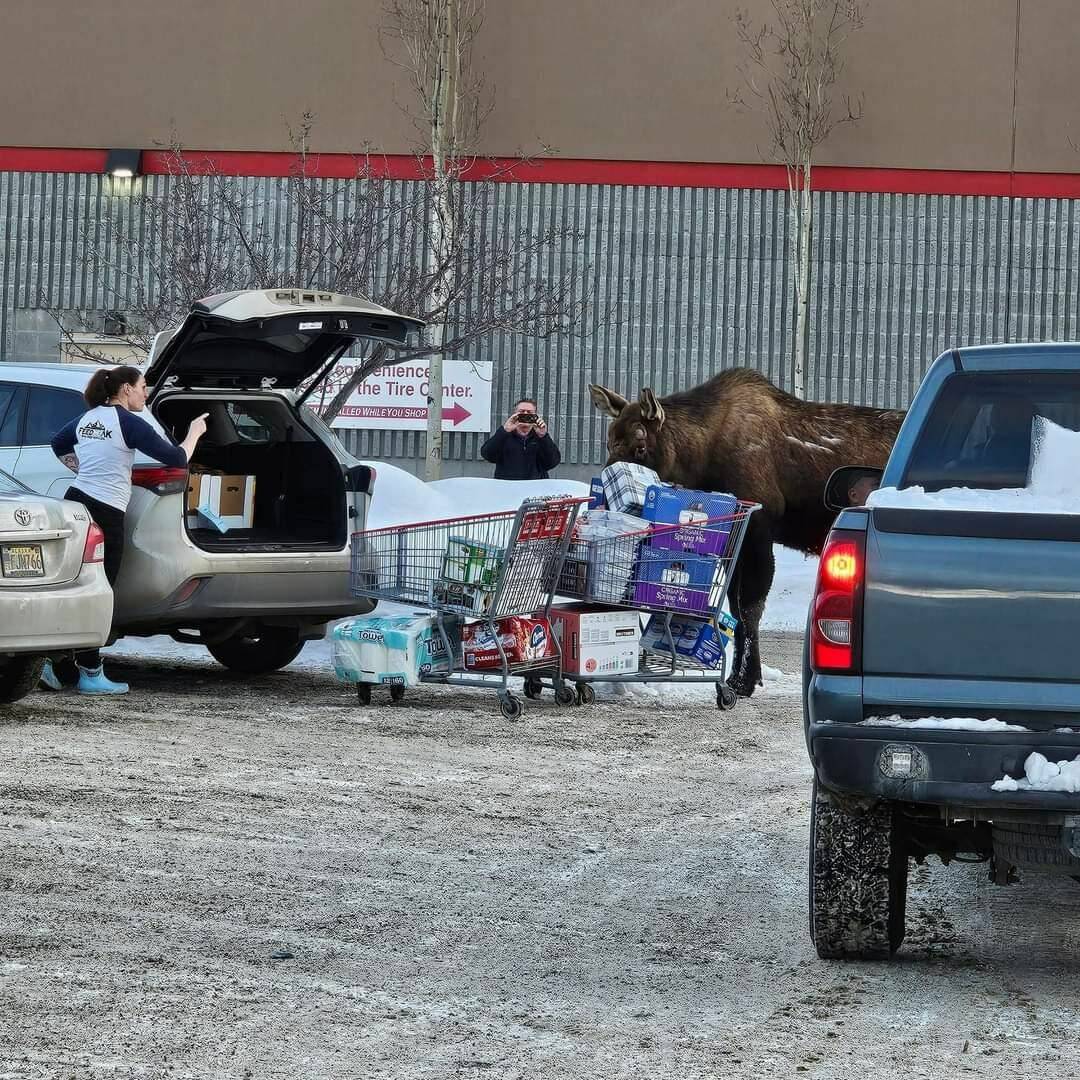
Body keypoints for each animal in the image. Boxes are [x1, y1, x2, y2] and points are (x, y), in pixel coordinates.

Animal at [591, 367, 902, 695]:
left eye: (640, 446)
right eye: (610, 443)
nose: (605, 496)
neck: (698, 463)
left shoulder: (759, 531)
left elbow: (750, 608)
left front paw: (745, 680)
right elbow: (735, 610)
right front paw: (738, 676)